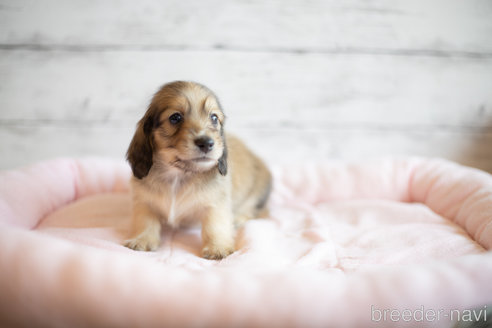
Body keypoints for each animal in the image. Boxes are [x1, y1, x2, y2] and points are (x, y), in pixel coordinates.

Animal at [122, 81, 270, 258]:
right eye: (175, 117)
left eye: (214, 118)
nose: (206, 143)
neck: (178, 175)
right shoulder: (144, 202)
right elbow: (145, 221)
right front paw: (142, 239)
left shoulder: (215, 204)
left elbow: (214, 226)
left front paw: (217, 247)